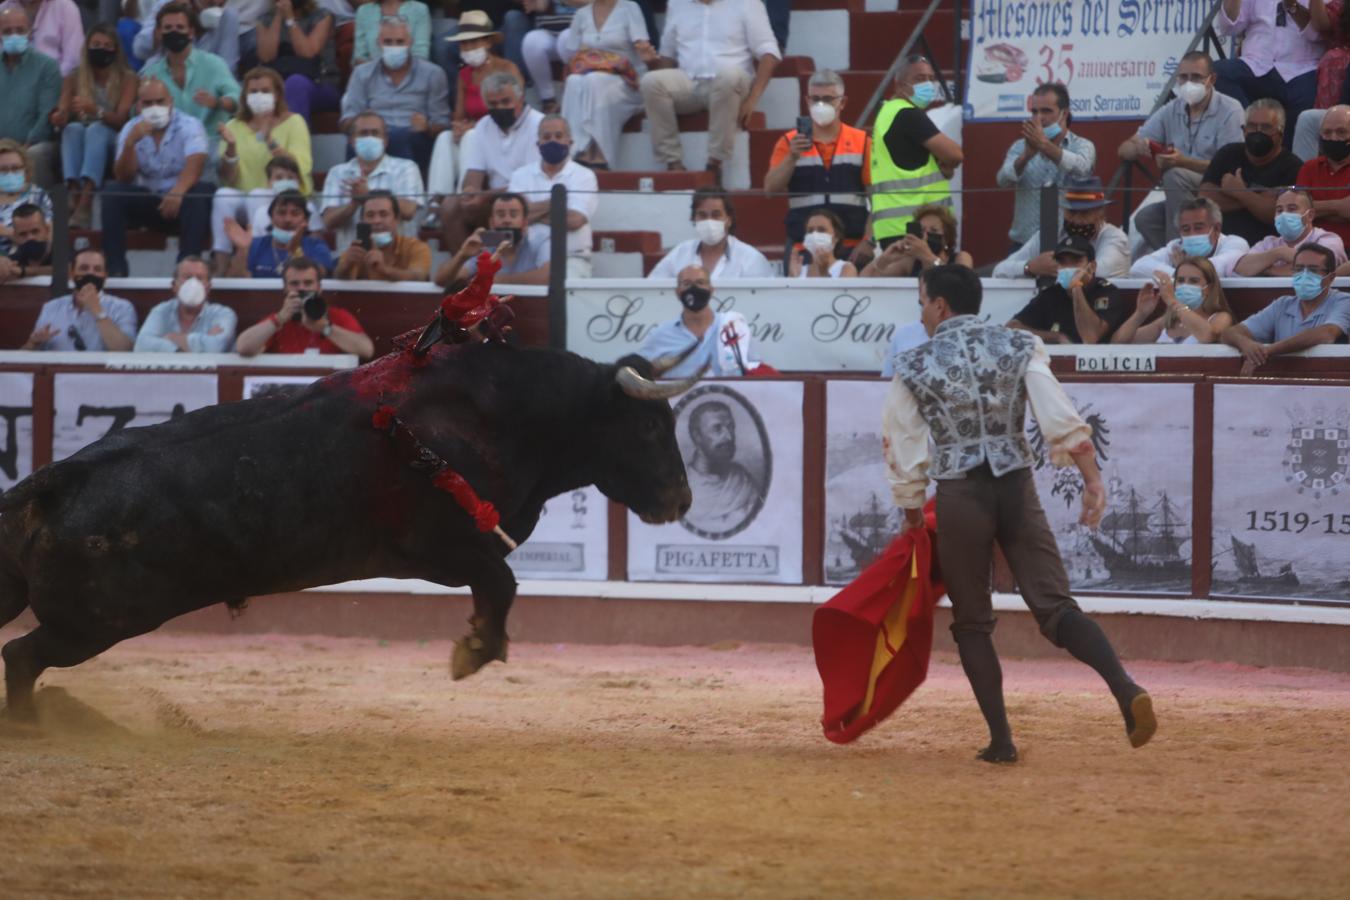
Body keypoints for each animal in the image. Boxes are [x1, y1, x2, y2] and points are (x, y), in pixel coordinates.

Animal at [0, 341, 696, 723]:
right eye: (650, 427)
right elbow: (502, 584)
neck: (511, 414)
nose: (682, 498)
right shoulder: (442, 549)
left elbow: (498, 585)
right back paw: (35, 726)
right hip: (98, 622)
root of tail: (53, 482)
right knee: (21, 656)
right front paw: (474, 652)